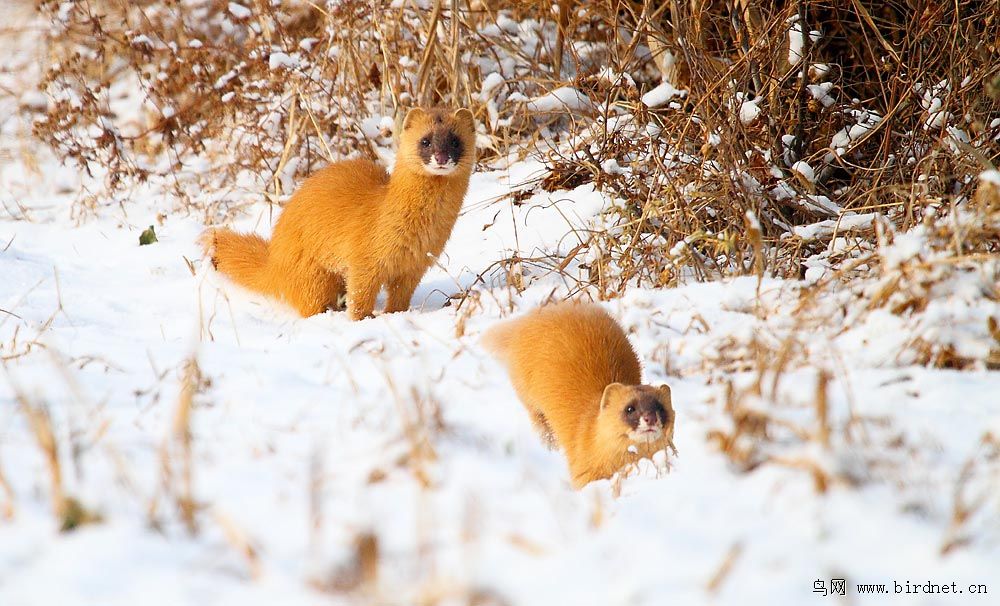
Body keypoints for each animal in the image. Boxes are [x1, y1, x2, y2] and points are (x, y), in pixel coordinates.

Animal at [203, 107, 476, 320]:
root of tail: (274, 259)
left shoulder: (415, 266)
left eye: (455, 140)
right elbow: (360, 293)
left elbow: (400, 295)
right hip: (312, 273)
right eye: (425, 140)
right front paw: (363, 318)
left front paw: (394, 313)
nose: (441, 157)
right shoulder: (363, 258)